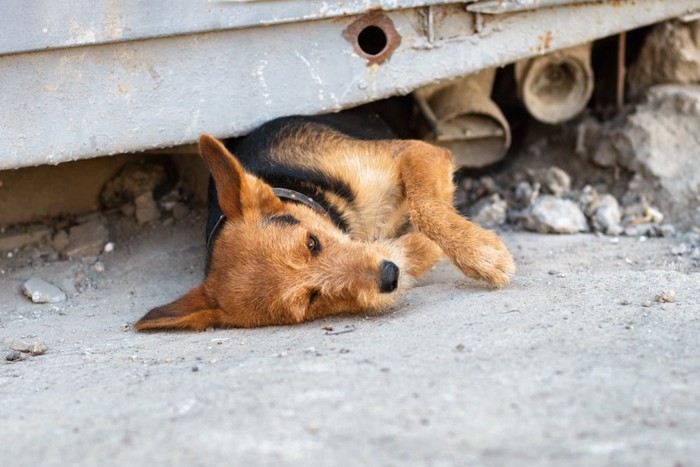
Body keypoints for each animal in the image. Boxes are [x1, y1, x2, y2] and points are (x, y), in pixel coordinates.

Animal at [134, 113, 516, 332]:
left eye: (311, 242)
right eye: (312, 299)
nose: (389, 277)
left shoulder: (416, 152)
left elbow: (427, 208)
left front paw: (479, 252)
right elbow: (411, 243)